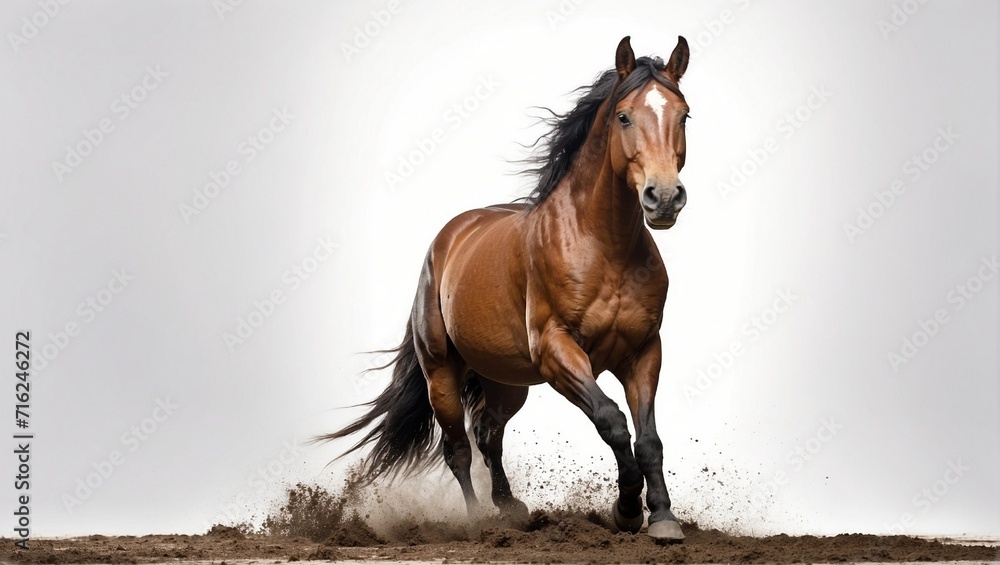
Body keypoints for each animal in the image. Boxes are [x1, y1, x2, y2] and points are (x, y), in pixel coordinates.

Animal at [318, 35, 691, 542]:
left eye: (684, 114)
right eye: (624, 116)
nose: (664, 198)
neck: (603, 245)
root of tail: (447, 239)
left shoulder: (643, 350)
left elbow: (648, 438)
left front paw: (663, 518)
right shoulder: (557, 352)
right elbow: (612, 421)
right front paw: (627, 509)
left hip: (506, 382)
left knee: (488, 435)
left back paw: (510, 508)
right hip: (442, 375)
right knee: (458, 448)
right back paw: (478, 522)